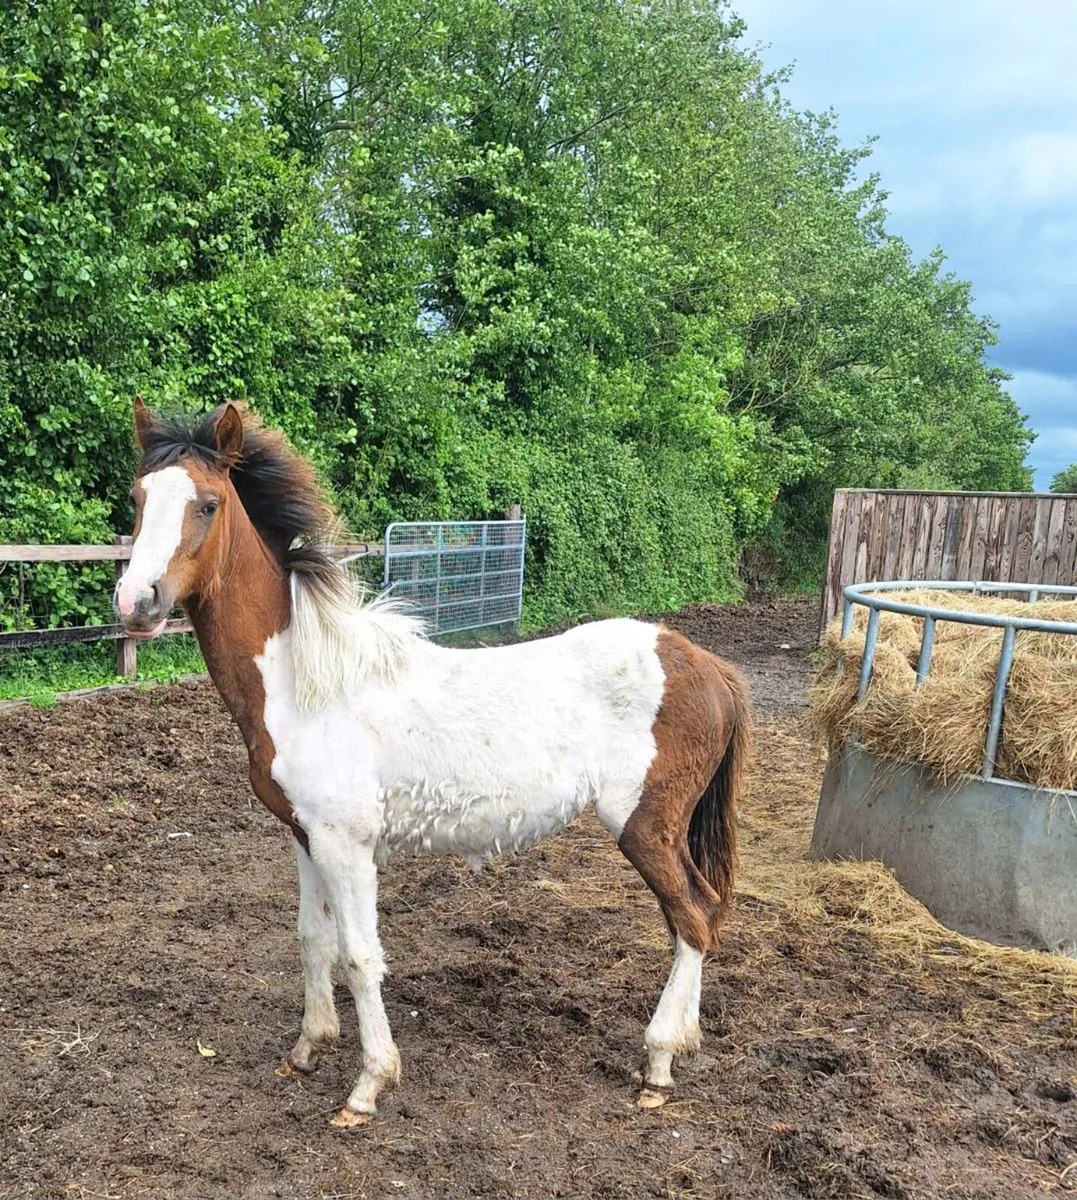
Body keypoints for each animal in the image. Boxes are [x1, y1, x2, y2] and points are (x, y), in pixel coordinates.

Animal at [114, 398, 753, 1127]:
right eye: (138, 497)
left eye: (209, 503)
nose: (136, 601)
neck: (307, 682)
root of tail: (707, 666)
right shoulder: (304, 837)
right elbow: (312, 939)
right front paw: (308, 1047)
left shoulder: (346, 845)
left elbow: (359, 956)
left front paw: (368, 1084)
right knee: (701, 915)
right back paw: (686, 1040)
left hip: (644, 826)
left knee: (692, 919)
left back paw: (659, 1062)